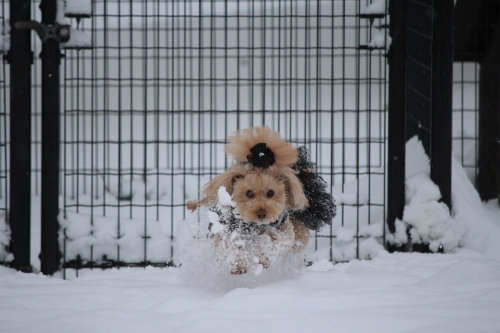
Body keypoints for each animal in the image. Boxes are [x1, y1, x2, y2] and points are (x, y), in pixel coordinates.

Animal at [188, 126, 336, 274]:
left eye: (271, 193)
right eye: (248, 193)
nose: (261, 214)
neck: (254, 225)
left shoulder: (284, 232)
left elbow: (273, 241)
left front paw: (262, 259)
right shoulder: (225, 232)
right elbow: (230, 246)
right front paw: (238, 264)